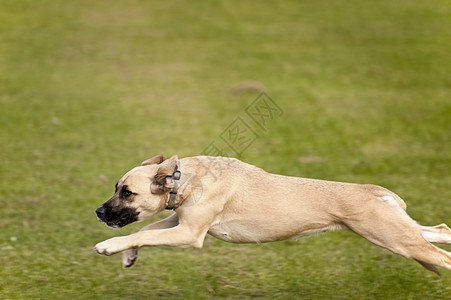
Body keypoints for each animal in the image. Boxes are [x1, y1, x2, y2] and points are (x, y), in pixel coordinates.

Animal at [94, 155, 451, 274]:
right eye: (117, 188)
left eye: (127, 192)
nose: (99, 212)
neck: (186, 178)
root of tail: (377, 192)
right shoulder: (179, 220)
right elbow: (143, 232)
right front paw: (128, 256)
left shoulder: (188, 234)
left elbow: (144, 233)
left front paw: (108, 246)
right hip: (401, 233)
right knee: (442, 231)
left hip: (396, 239)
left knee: (442, 256)